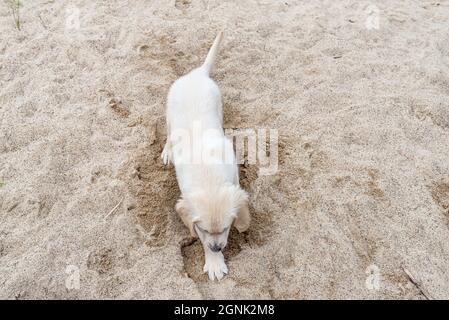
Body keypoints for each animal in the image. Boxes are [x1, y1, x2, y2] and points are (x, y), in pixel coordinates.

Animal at [161, 32, 250, 280]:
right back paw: (167, 150)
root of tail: (197, 74)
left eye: (226, 228)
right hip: (169, 113)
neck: (209, 177)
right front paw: (214, 262)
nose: (217, 248)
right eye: (203, 229)